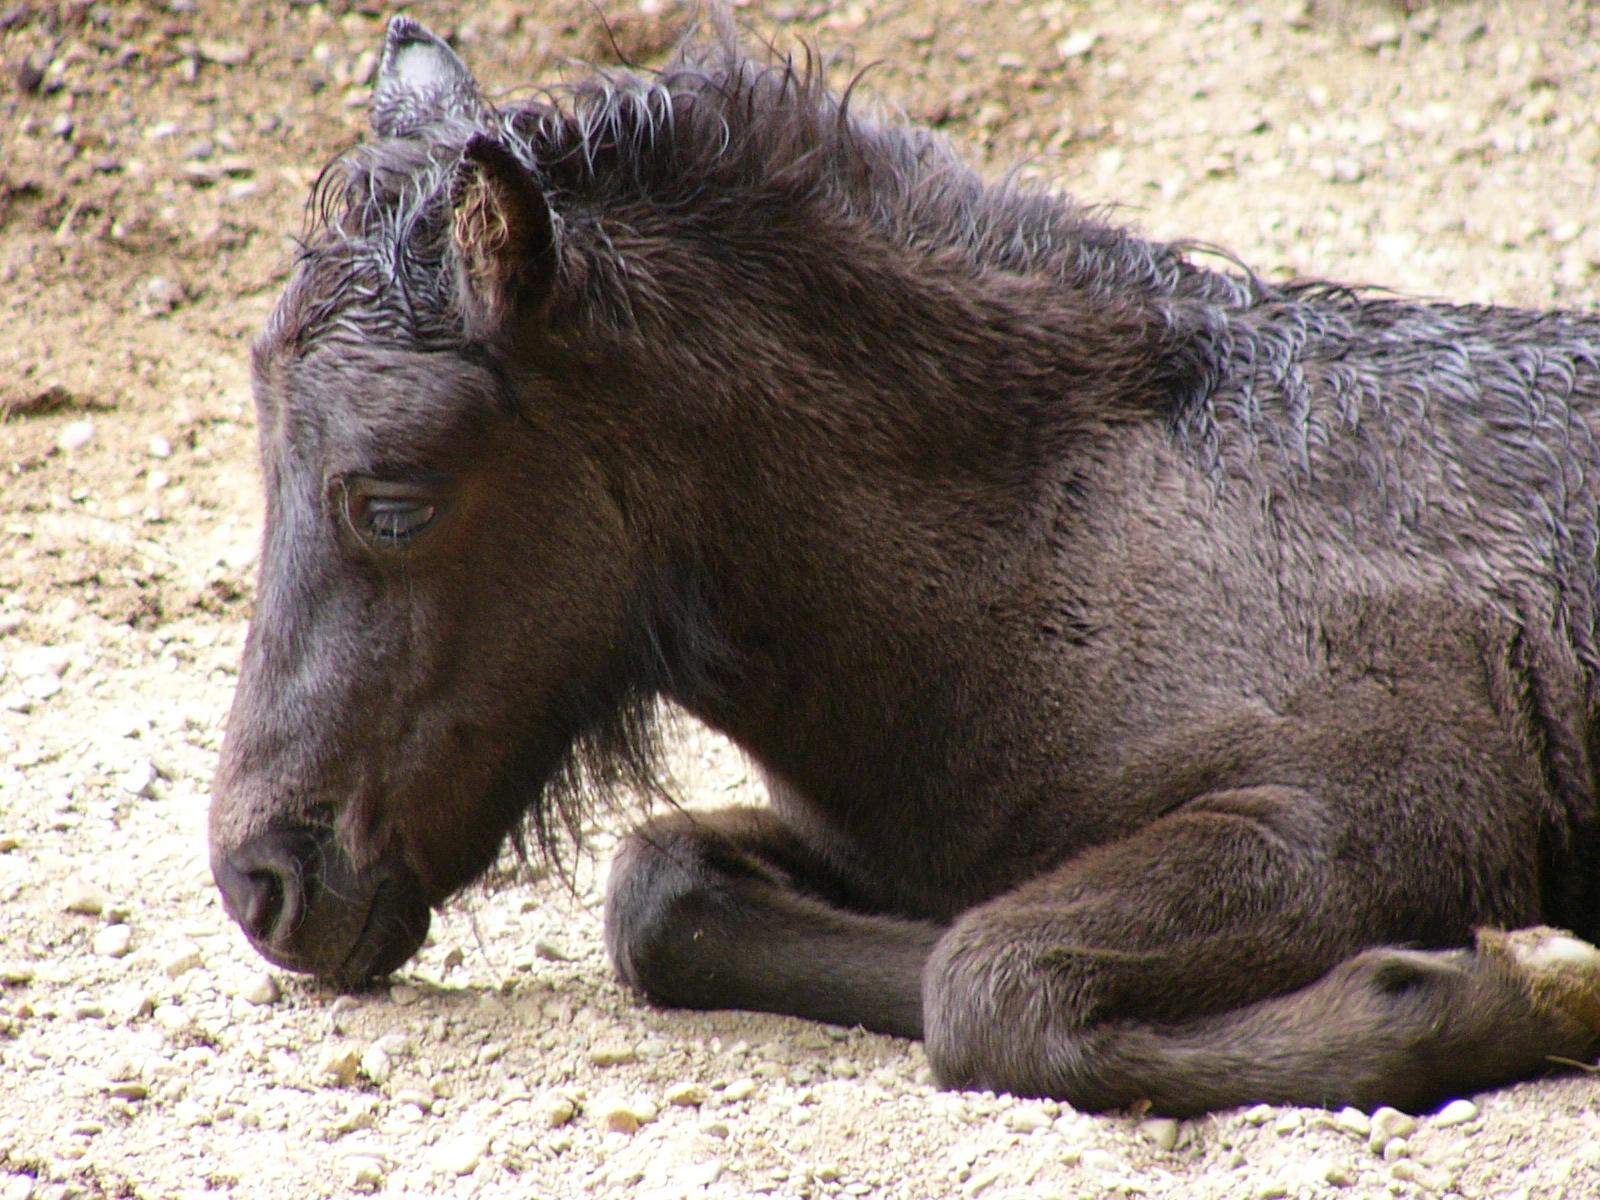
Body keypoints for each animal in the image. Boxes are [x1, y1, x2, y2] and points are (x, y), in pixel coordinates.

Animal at [208, 14, 1600, 1115]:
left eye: (393, 501)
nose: (260, 882)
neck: (1024, 567)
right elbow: (668, 894)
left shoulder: (1385, 806)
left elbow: (981, 984)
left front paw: (1508, 990)